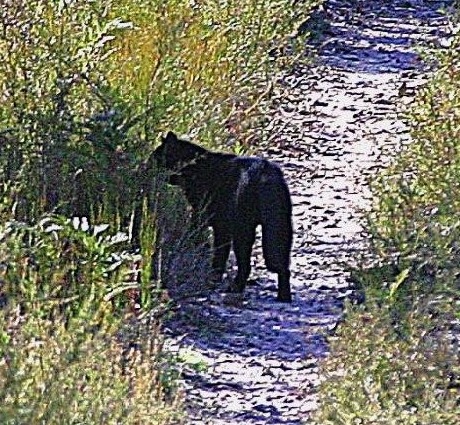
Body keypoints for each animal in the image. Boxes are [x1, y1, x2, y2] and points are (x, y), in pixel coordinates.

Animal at [153, 131, 292, 300]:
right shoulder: (221, 226)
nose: (148, 161)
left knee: (246, 263)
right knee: (282, 264)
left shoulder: (206, 218)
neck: (193, 165)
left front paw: (212, 275)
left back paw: (235, 287)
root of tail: (265, 174)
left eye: (157, 155)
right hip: (279, 226)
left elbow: (211, 247)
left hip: (243, 228)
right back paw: (284, 297)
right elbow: (221, 251)